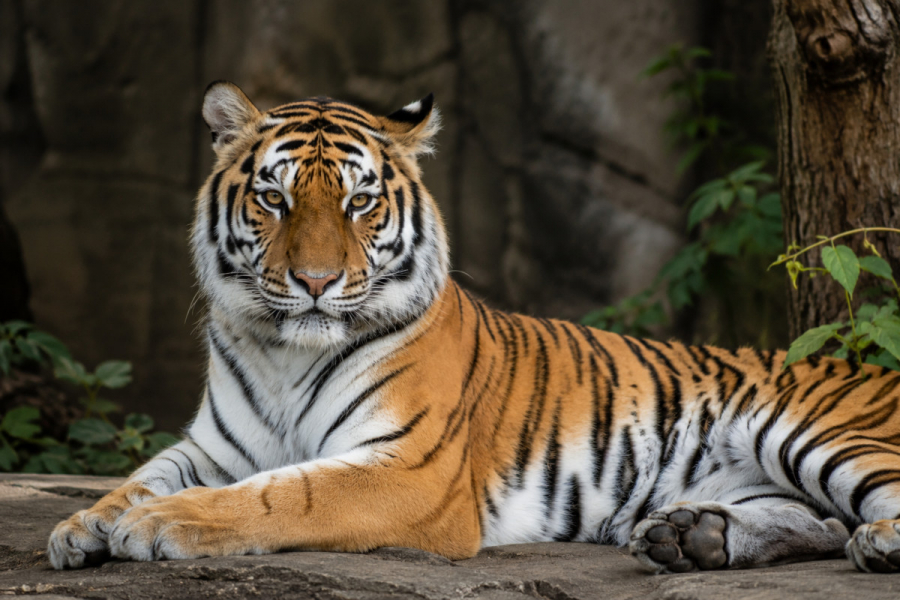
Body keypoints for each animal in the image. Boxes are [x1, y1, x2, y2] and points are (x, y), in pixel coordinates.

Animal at [48, 81, 900, 574]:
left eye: (359, 203)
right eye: (275, 199)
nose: (316, 282)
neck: (283, 354)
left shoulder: (409, 468)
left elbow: (281, 495)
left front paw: (157, 524)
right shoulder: (214, 446)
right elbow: (142, 475)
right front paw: (83, 525)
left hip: (810, 429)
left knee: (861, 506)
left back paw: (874, 543)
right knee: (819, 520)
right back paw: (693, 537)